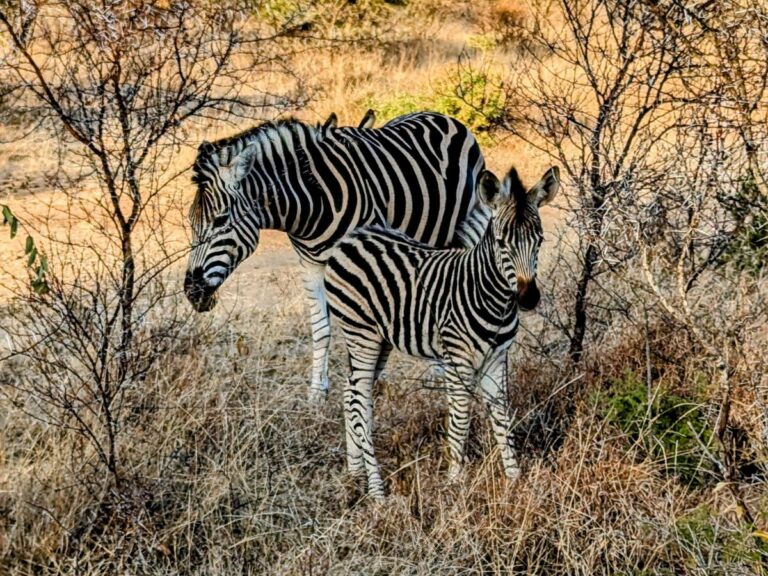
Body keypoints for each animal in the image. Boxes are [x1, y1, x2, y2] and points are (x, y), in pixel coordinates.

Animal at [183, 111, 488, 400]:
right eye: (190, 221)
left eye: (221, 220)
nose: (192, 292)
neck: (312, 204)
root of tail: (439, 115)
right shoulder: (310, 265)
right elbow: (321, 330)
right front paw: (317, 393)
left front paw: (366, 382)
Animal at [324, 164, 560, 498]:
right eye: (501, 243)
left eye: (539, 240)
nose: (528, 299)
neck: (491, 296)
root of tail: (353, 235)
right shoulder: (456, 358)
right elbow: (460, 420)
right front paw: (454, 483)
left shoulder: (497, 357)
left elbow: (502, 417)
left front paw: (515, 480)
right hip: (361, 333)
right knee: (359, 401)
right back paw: (377, 490)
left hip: (380, 339)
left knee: (350, 392)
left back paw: (355, 472)